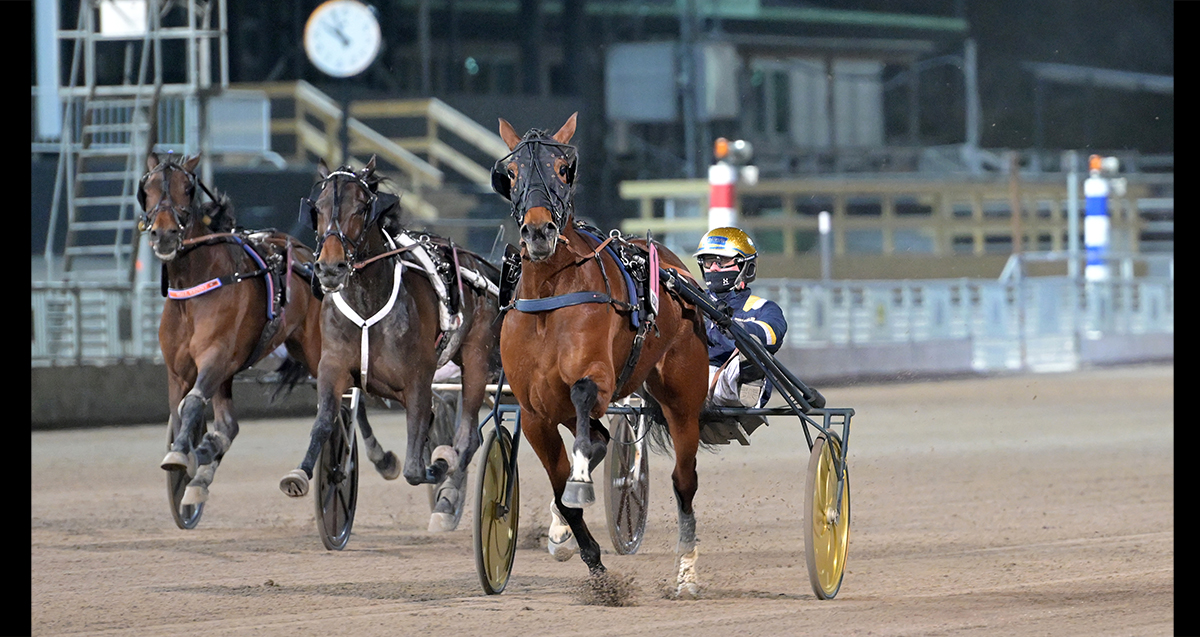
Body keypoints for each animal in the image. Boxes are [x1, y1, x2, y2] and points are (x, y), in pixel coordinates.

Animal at [140, 150, 403, 527]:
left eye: (187, 189)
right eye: (146, 188)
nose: (163, 235)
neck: (197, 285)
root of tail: (307, 256)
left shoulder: (216, 357)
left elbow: (191, 405)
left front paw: (184, 455)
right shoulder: (181, 371)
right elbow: (185, 415)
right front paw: (191, 459)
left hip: (319, 352)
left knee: (349, 405)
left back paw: (381, 458)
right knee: (229, 425)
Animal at [489, 112, 710, 595]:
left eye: (562, 168)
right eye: (510, 173)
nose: (538, 231)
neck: (549, 300)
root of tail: (673, 267)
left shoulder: (599, 381)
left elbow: (585, 405)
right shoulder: (533, 413)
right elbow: (562, 483)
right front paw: (581, 551)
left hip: (683, 399)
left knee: (683, 481)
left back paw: (687, 571)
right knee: (600, 443)